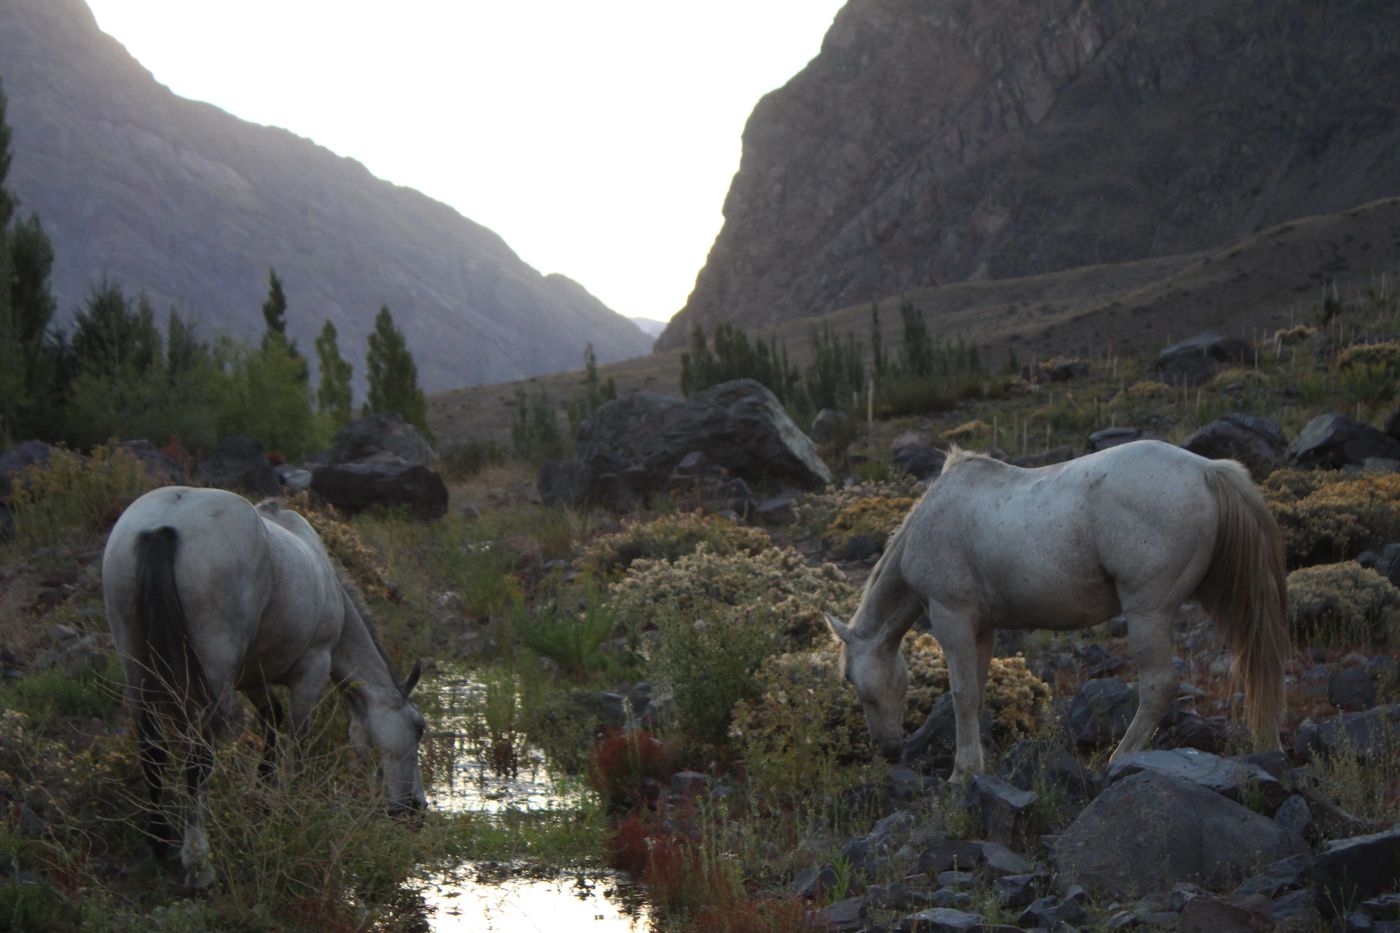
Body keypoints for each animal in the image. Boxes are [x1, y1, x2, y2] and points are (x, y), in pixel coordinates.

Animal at [102, 485, 427, 888]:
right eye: (419, 729)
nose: (416, 810)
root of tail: (165, 526)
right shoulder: (312, 670)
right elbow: (299, 743)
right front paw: (293, 807)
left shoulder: (252, 678)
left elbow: (272, 719)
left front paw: (263, 795)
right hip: (212, 679)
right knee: (197, 761)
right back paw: (199, 864)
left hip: (137, 666)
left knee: (152, 749)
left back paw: (160, 842)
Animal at [826, 440, 1288, 782]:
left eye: (849, 678)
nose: (889, 749)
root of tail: (1208, 469)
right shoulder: (982, 628)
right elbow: (976, 693)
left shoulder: (950, 617)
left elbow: (962, 694)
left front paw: (963, 772)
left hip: (1148, 612)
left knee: (1159, 684)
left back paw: (1121, 758)